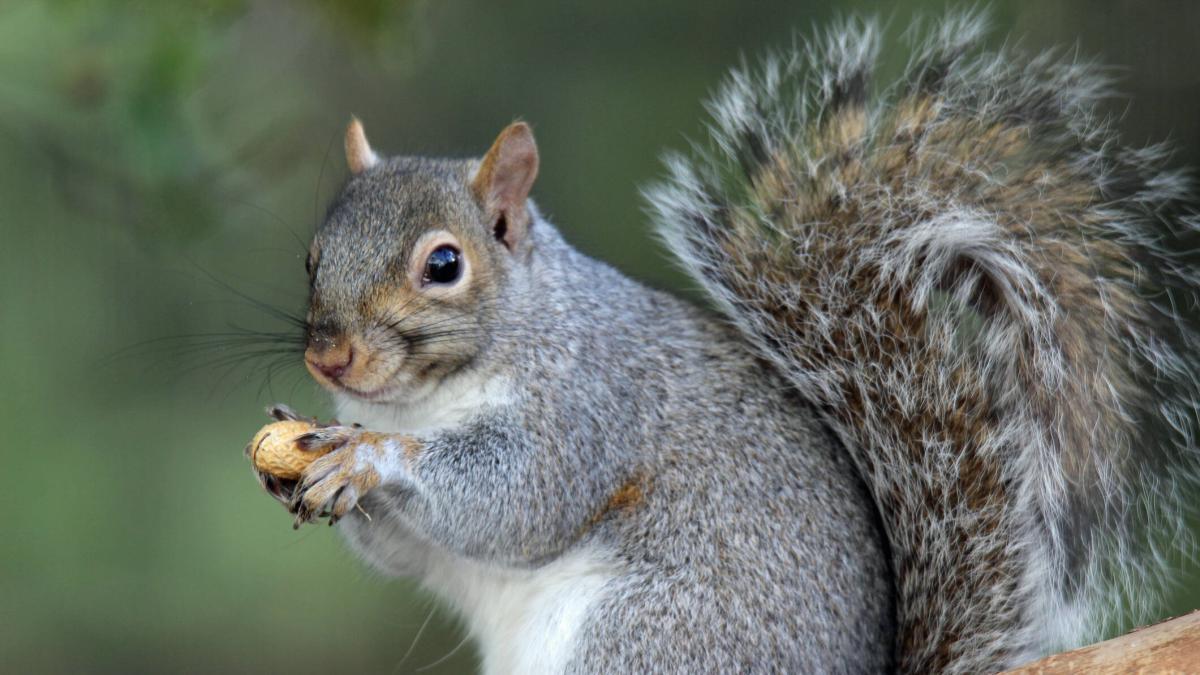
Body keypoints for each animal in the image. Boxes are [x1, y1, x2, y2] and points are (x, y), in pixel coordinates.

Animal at [250, 11, 1200, 672]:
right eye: (312, 257)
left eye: (444, 264)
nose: (329, 357)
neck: (425, 396)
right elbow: (409, 551)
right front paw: (307, 456)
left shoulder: (591, 403)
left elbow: (521, 497)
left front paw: (376, 457)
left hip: (647, 635)